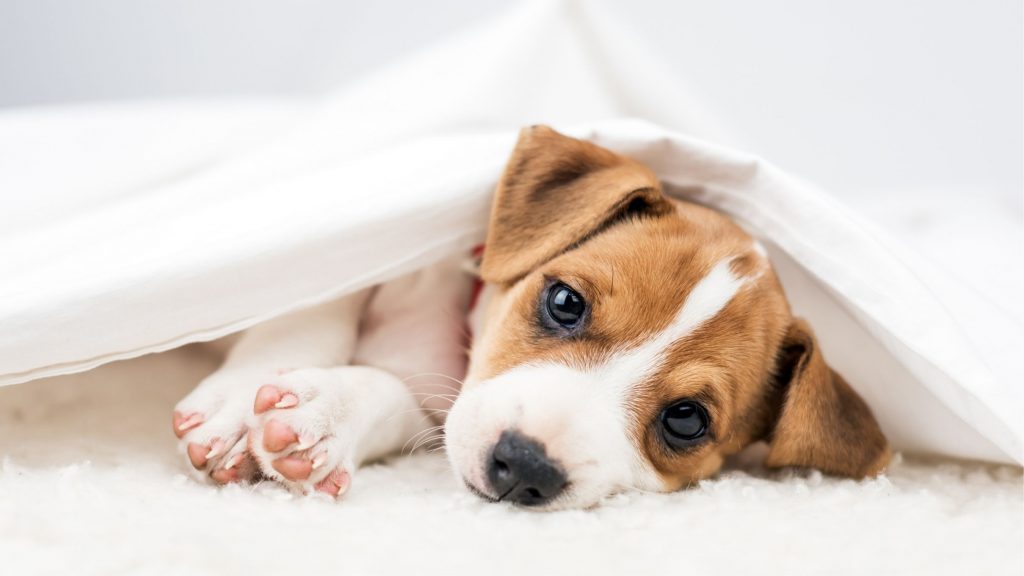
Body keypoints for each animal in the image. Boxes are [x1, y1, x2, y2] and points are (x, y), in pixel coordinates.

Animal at [169, 124, 888, 506]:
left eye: (686, 420)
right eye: (565, 301)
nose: (525, 468)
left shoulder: (433, 405)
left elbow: (393, 396)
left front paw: (326, 416)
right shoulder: (358, 256)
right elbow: (309, 307)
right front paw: (236, 408)